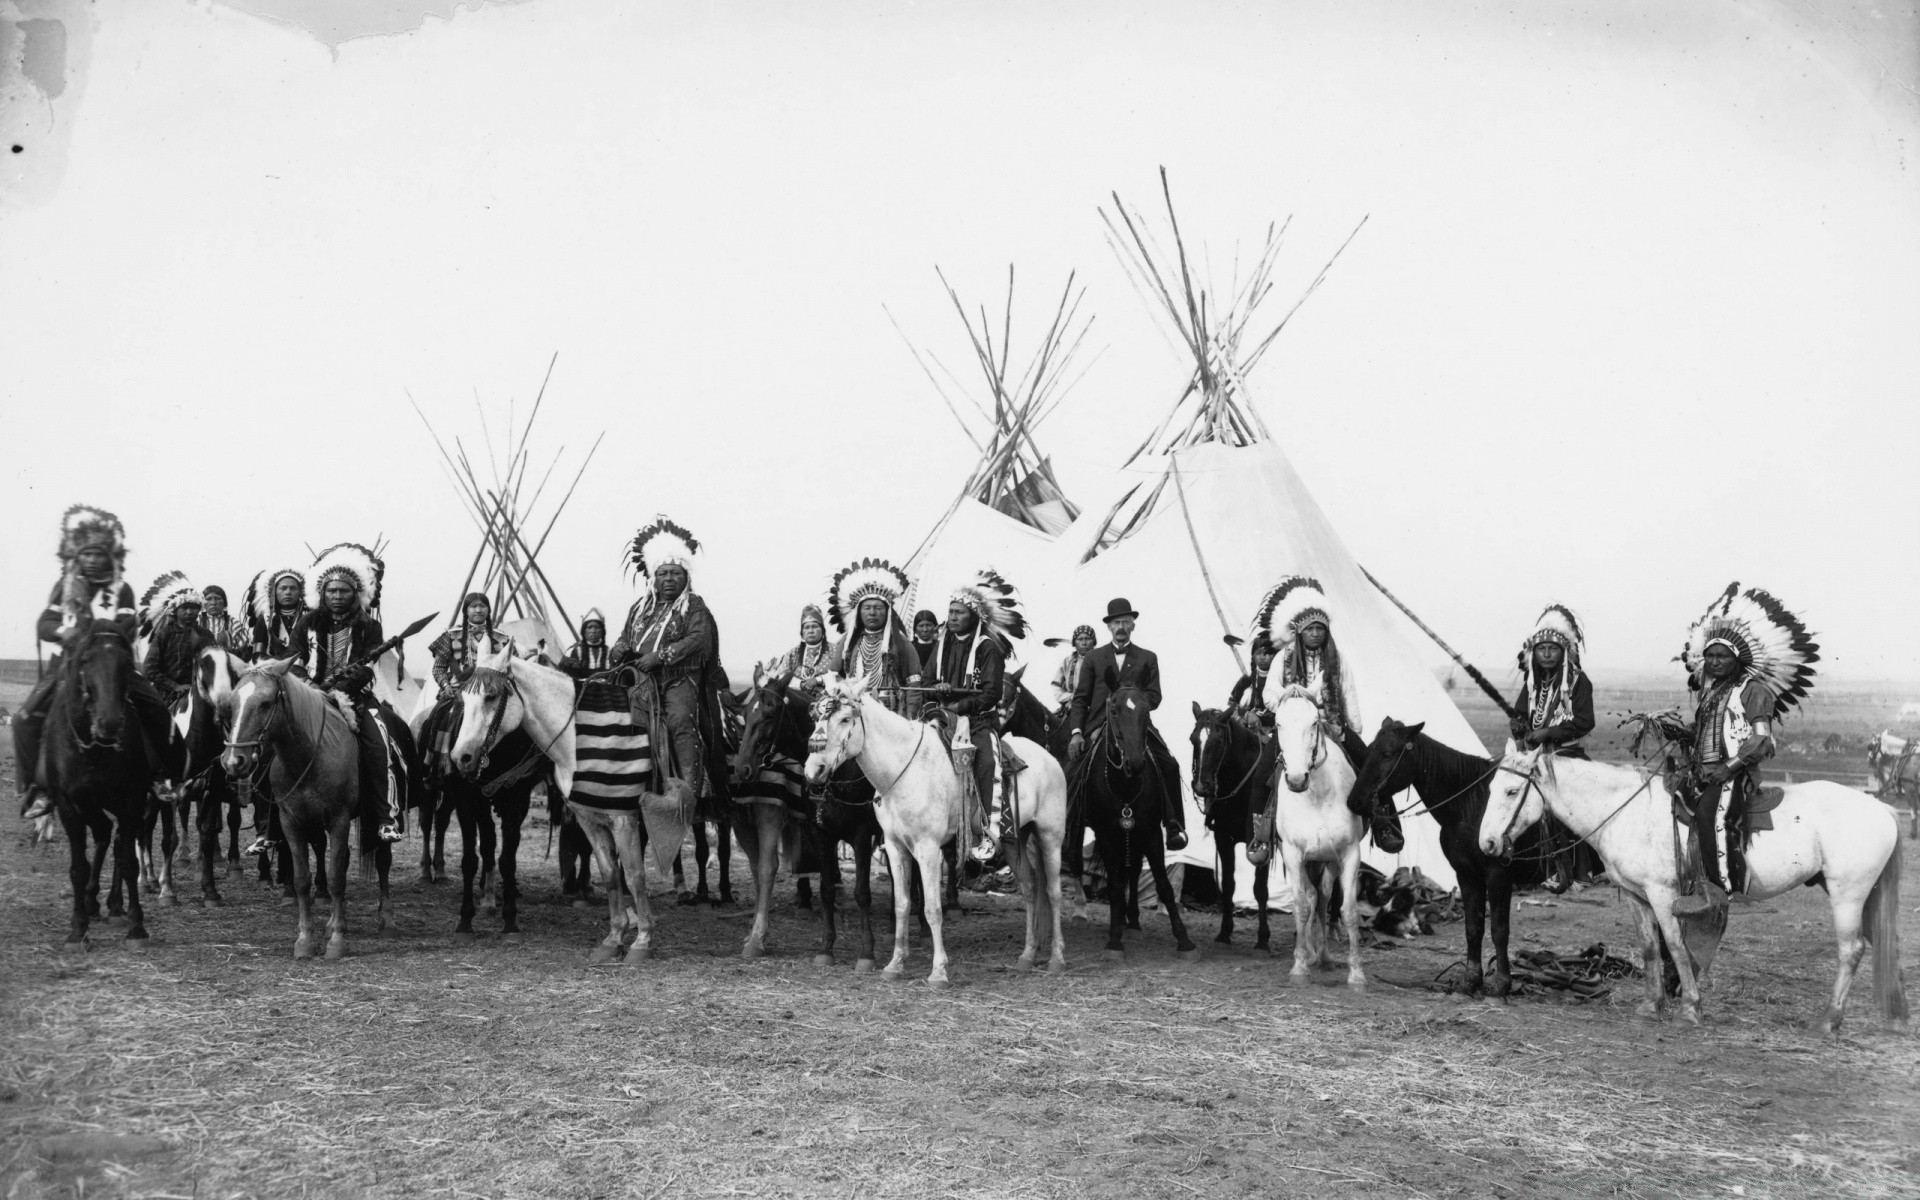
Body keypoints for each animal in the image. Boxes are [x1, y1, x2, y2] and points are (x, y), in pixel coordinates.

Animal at [45, 606, 153, 944]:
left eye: (127, 663)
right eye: (85, 660)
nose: (109, 722)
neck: (94, 751)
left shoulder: (133, 800)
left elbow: (130, 861)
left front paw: (137, 925)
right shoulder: (69, 805)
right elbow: (78, 867)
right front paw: (77, 927)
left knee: (116, 842)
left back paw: (115, 905)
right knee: (106, 833)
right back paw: (93, 902)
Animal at [794, 668, 1075, 990]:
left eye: (844, 719)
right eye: (815, 716)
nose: (813, 770)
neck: (903, 770)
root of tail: (1050, 758)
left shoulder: (926, 848)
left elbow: (931, 907)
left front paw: (938, 971)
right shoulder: (895, 847)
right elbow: (902, 904)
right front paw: (895, 964)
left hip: (1050, 836)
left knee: (1053, 892)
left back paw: (1056, 958)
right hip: (1015, 838)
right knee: (1030, 888)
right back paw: (1027, 956)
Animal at [1075, 679, 1190, 960]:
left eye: (1146, 712)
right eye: (1114, 711)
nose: (1135, 764)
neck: (1125, 787)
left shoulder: (1151, 832)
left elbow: (1164, 885)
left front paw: (1184, 940)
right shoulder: (1106, 835)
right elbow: (1116, 886)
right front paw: (1114, 940)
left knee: (1135, 870)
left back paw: (1134, 922)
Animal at [1182, 702, 1274, 944]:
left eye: (1219, 741)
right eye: (1193, 739)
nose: (1201, 786)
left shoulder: (1260, 843)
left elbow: (1260, 889)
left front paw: (1263, 938)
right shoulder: (1224, 838)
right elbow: (1228, 885)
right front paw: (1225, 931)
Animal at [1274, 683, 1367, 990]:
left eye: (1314, 722)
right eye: (1278, 723)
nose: (1296, 779)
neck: (1316, 796)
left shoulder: (1349, 854)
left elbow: (1348, 911)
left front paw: (1357, 974)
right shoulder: (1293, 854)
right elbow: (1301, 906)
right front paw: (1299, 967)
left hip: (1329, 860)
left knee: (1324, 897)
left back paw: (1323, 955)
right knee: (1313, 898)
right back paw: (1311, 955)